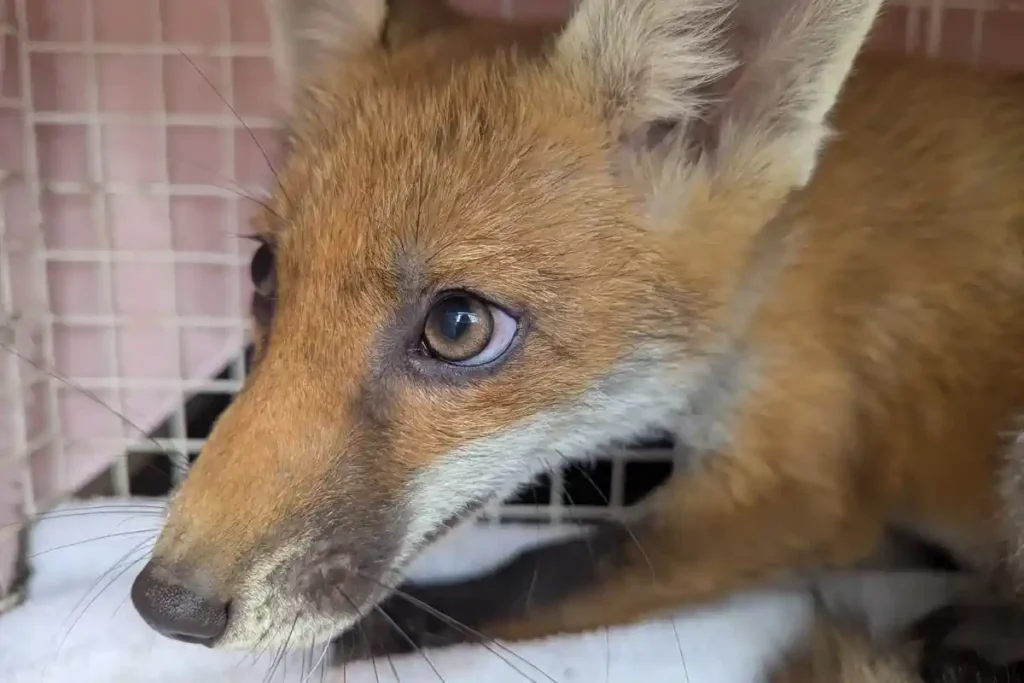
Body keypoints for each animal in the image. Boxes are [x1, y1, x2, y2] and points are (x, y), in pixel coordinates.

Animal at [126, 0, 1024, 678]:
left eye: (459, 327)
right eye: (263, 272)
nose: (165, 605)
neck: (775, 260)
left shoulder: (805, 474)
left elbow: (551, 570)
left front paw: (392, 631)